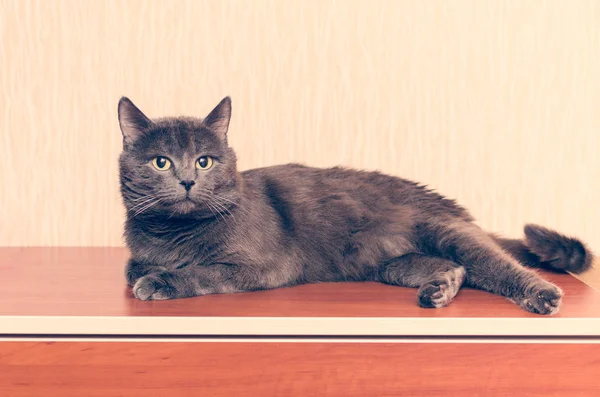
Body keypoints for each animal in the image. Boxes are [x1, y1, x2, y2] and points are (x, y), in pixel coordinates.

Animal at [119, 95, 592, 312]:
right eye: (161, 162)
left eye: (204, 161)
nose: (186, 180)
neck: (173, 232)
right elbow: (132, 266)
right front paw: (150, 270)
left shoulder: (263, 265)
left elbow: (204, 270)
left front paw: (162, 280)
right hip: (389, 263)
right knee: (455, 266)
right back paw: (438, 289)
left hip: (444, 230)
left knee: (495, 263)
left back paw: (542, 295)